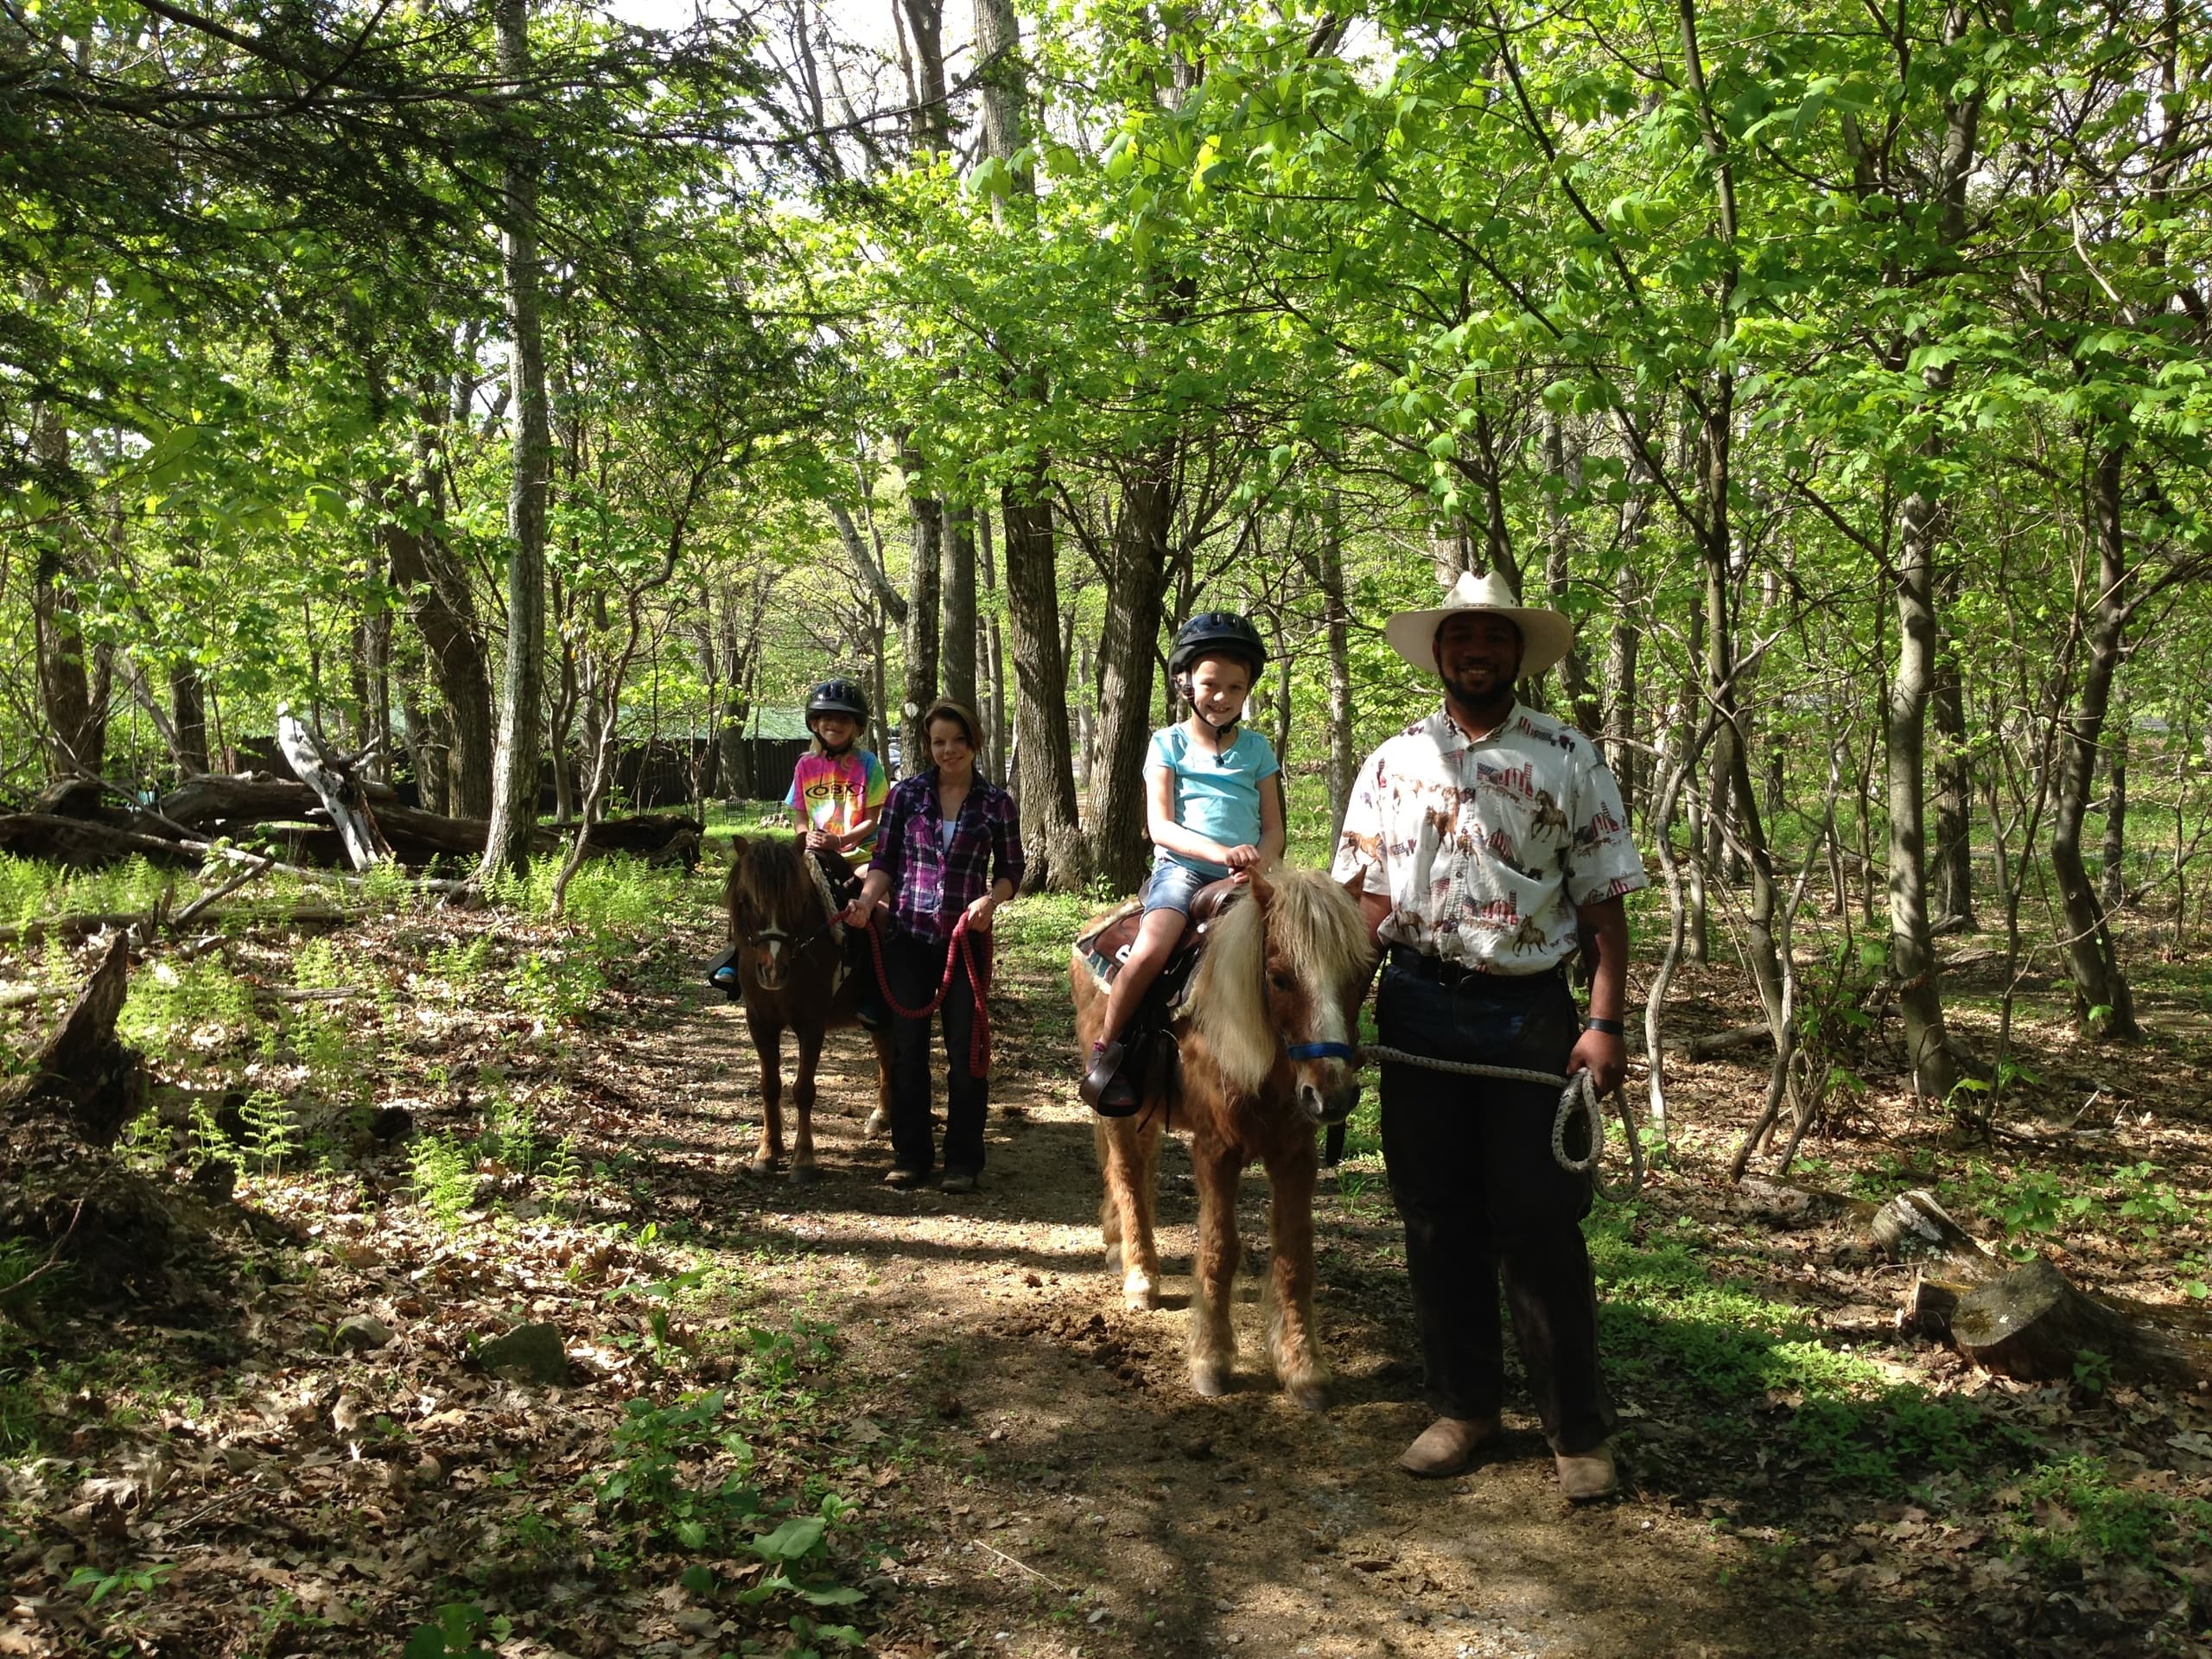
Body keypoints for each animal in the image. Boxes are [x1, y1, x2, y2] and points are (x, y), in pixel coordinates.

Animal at [722, 834, 893, 1181]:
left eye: (798, 901)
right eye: (746, 901)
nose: (773, 971)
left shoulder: (811, 1025)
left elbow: (803, 1090)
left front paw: (802, 1158)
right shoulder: (759, 1022)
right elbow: (770, 1085)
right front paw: (768, 1152)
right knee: (886, 1052)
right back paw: (882, 1117)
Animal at [1069, 865, 1376, 1411]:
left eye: (1360, 977)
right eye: (1279, 977)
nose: (1332, 1096)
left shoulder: (1296, 1156)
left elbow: (1294, 1253)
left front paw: (1303, 1366)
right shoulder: (1217, 1151)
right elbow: (1219, 1247)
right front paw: (1211, 1361)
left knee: (1138, 1169)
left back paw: (1118, 1244)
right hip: (1117, 1102)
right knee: (1125, 1171)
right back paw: (1140, 1274)